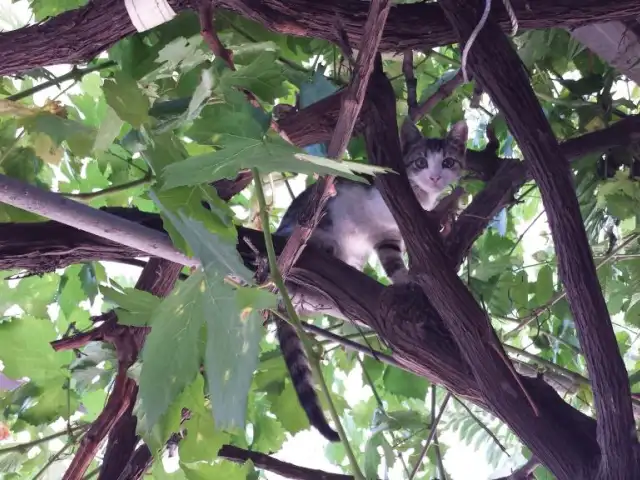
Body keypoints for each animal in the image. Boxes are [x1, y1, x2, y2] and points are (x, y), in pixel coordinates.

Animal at [272, 118, 468, 440]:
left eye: (449, 162)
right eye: (421, 162)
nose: (435, 176)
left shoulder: (385, 235)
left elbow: (392, 258)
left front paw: (404, 276)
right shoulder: (376, 204)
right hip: (307, 224)